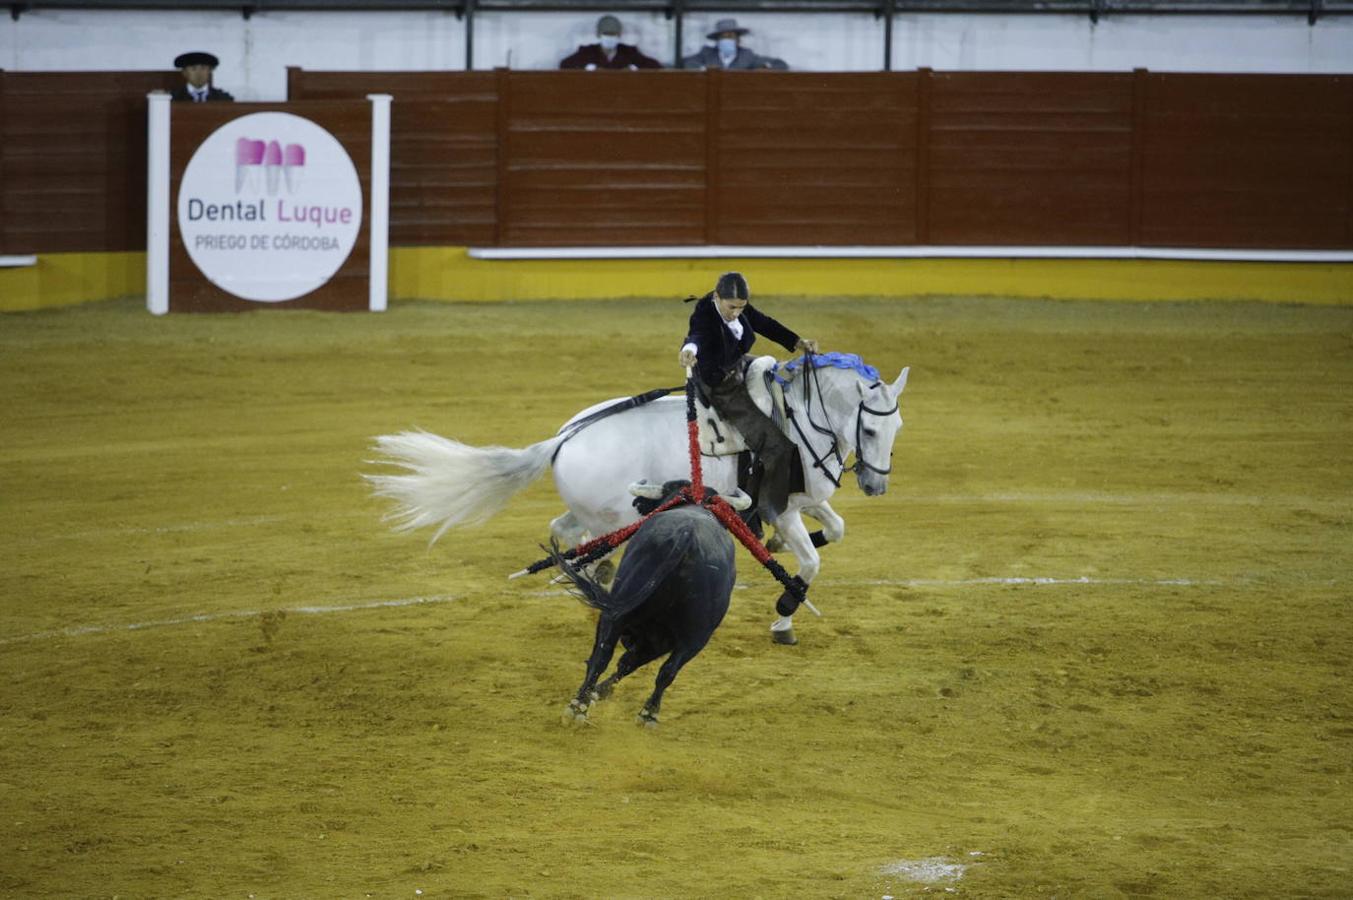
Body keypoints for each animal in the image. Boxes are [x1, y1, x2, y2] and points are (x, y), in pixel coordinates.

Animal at [368, 354, 909, 641]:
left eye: (898, 426)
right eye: (870, 427)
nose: (876, 485)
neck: (798, 418)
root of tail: (561, 439)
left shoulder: (804, 501)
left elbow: (836, 529)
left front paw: (778, 550)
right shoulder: (783, 507)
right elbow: (812, 563)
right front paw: (783, 618)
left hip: (591, 512)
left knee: (566, 536)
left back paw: (586, 581)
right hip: (609, 515)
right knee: (588, 550)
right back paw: (603, 591)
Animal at [552, 500, 736, 725]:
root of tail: (686, 535)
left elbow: (625, 663)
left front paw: (600, 692)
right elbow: (628, 663)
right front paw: (602, 691)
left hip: (624, 618)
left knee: (604, 656)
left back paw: (580, 706)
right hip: (693, 636)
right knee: (661, 669)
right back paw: (645, 712)